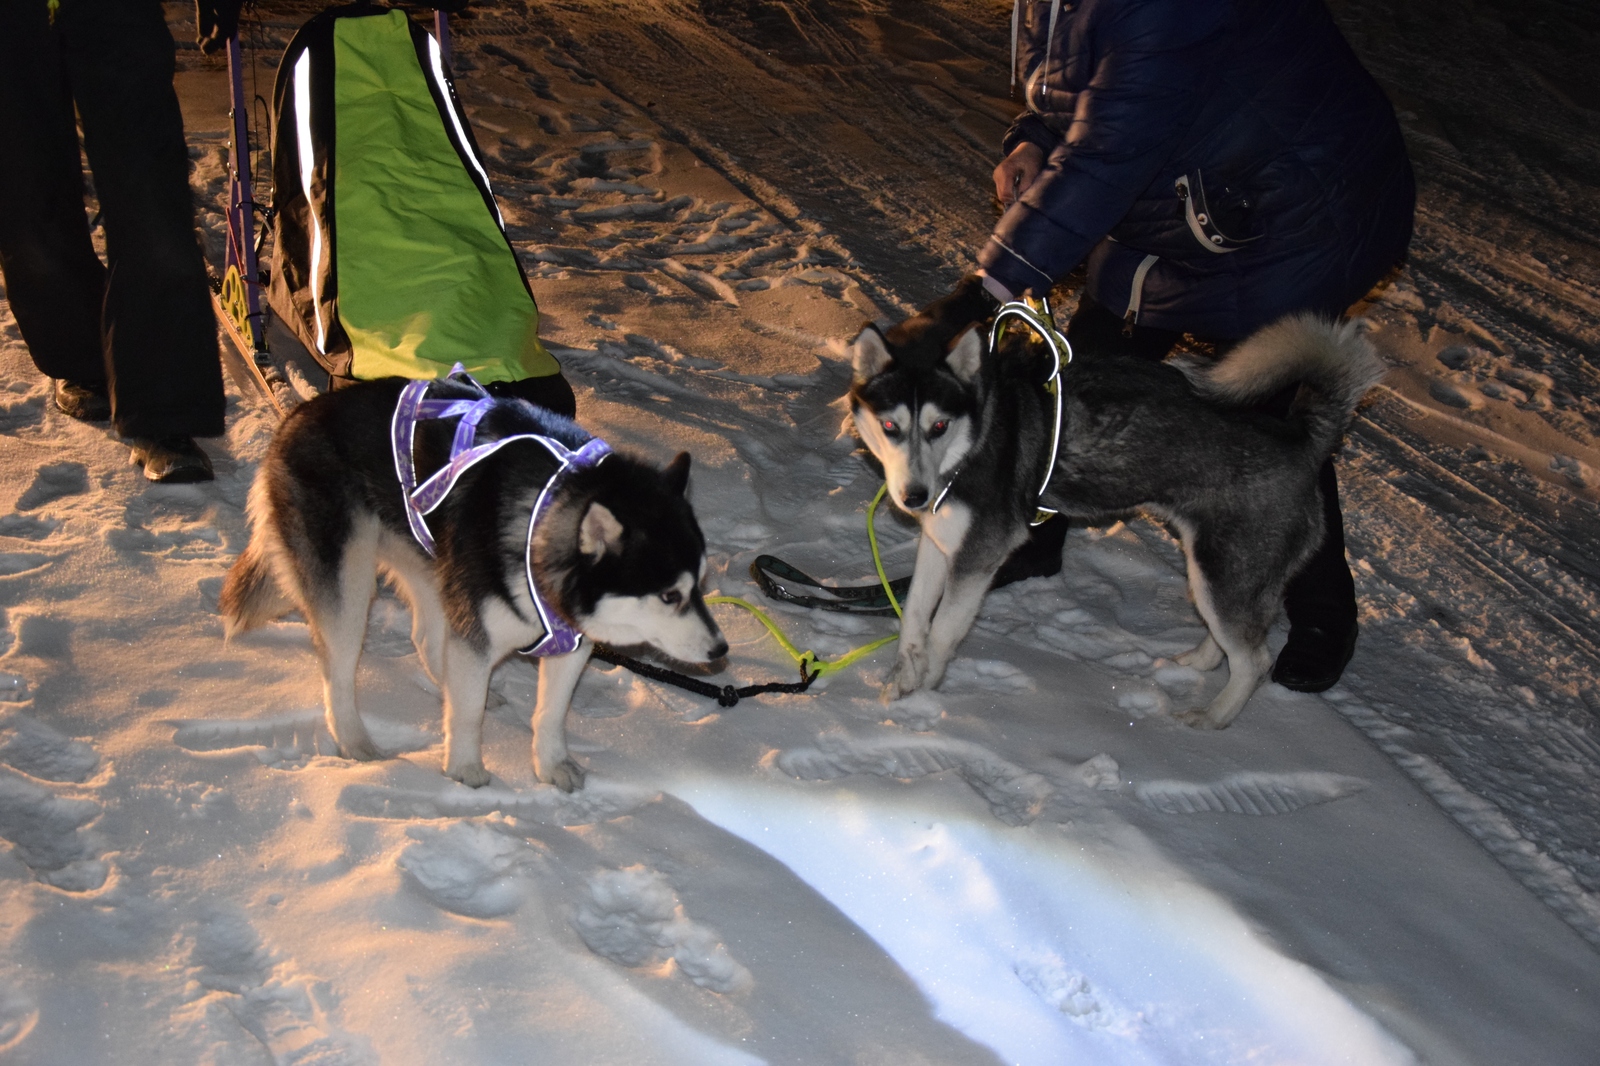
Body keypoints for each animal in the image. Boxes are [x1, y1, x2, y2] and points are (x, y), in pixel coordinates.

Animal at [220, 371, 726, 781]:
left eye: (700, 584)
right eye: (668, 596)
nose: (721, 650)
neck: (540, 517)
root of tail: (297, 413)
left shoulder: (571, 639)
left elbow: (551, 713)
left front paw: (551, 766)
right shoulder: (480, 629)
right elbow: (466, 714)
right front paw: (464, 770)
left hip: (432, 563)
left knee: (426, 637)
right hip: (349, 581)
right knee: (338, 668)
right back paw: (354, 740)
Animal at [851, 312, 1388, 726]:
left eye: (938, 425)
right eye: (890, 426)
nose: (914, 496)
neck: (972, 442)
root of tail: (1302, 439)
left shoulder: (979, 555)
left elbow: (943, 631)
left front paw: (924, 695)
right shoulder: (940, 543)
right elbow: (914, 618)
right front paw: (902, 679)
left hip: (1222, 572)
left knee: (1254, 660)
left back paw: (1212, 717)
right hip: (1217, 574)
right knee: (1233, 639)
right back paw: (1196, 662)